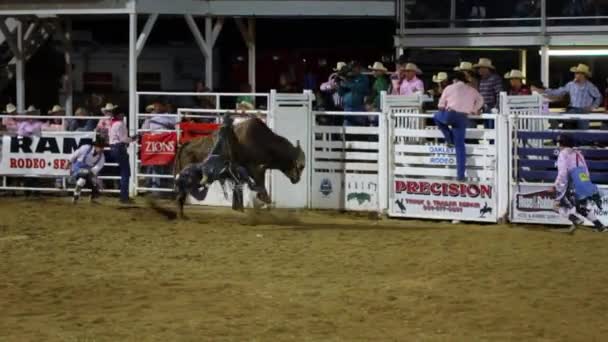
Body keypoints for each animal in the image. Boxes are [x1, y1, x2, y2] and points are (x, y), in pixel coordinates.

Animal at [172, 119, 304, 208]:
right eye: (300, 166)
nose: (297, 179)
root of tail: (187, 145)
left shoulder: (257, 169)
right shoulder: (254, 168)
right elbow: (260, 184)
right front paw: (265, 199)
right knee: (181, 195)